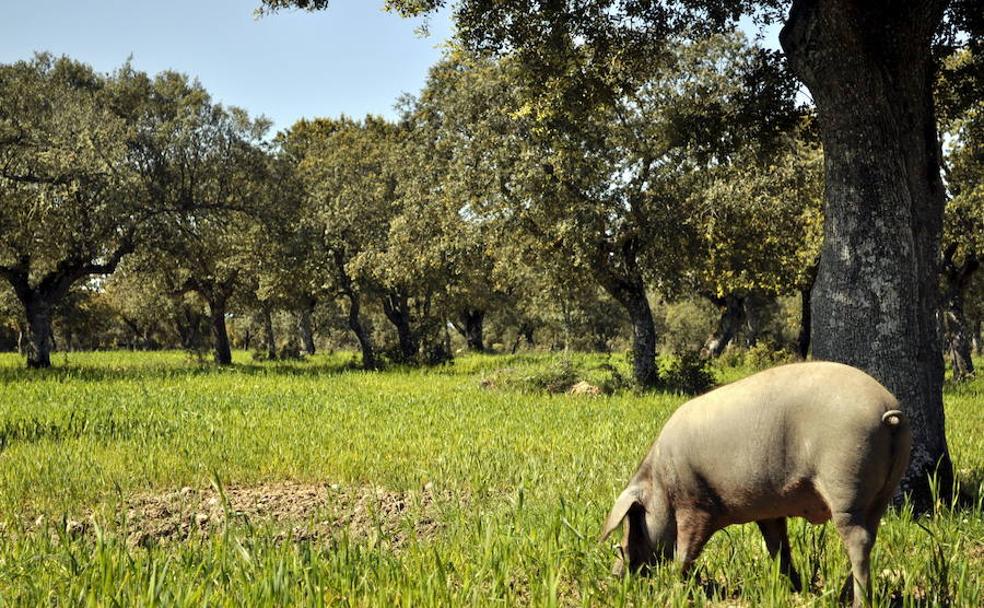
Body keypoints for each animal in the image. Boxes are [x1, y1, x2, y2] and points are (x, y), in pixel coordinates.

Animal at [600, 360, 916, 604]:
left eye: (633, 521)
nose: (615, 574)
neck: (661, 482)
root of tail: (887, 410)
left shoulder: (696, 504)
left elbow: (686, 549)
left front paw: (675, 590)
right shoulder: (769, 510)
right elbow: (778, 547)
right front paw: (793, 589)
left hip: (845, 484)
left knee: (857, 539)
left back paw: (857, 601)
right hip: (882, 492)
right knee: (870, 536)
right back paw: (842, 596)